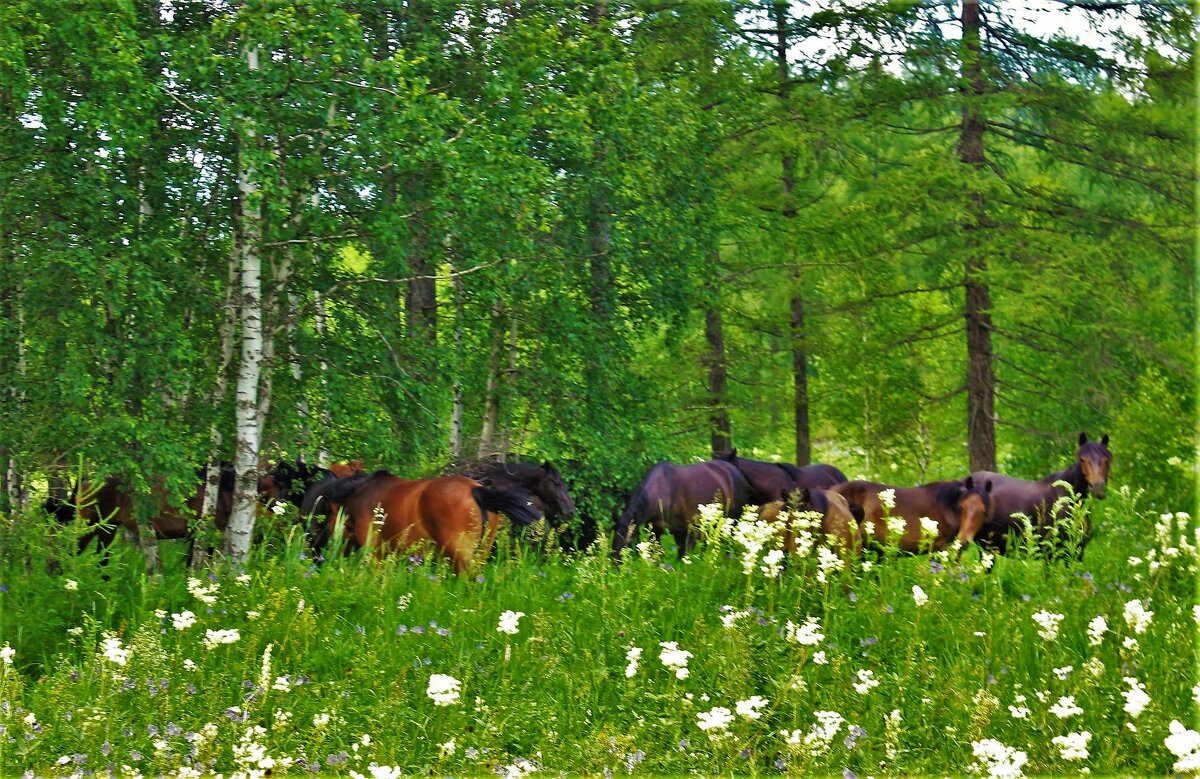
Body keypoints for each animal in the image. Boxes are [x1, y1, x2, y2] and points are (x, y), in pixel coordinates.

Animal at [304, 468, 544, 571]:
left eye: (326, 518)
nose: (316, 551)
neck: (362, 495)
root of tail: (477, 491)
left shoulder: (376, 554)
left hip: (460, 556)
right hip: (479, 555)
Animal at [609, 458, 748, 556]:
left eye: (628, 542)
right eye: (613, 539)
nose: (616, 567)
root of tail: (736, 472)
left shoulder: (684, 530)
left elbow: (682, 555)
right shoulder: (656, 529)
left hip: (733, 519)